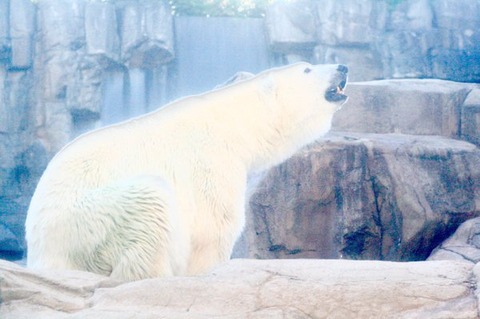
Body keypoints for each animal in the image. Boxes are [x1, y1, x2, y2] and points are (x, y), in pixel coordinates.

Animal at [25, 63, 348, 282]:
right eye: (307, 68)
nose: (342, 67)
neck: (234, 123)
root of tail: (38, 253)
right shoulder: (209, 162)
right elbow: (212, 228)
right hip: (82, 222)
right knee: (150, 204)